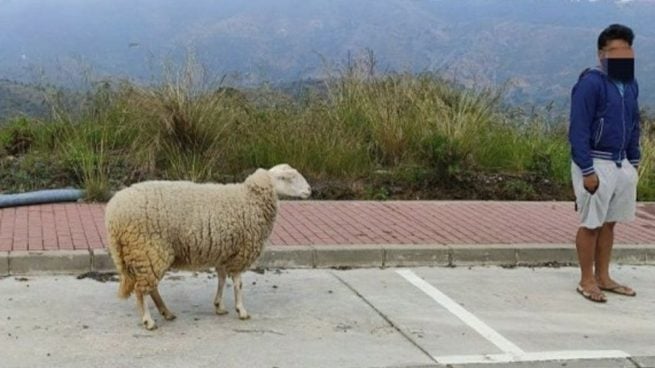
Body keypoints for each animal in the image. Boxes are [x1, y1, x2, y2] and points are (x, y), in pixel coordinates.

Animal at [105, 164, 312, 330]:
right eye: (288, 178)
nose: (310, 190)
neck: (249, 198)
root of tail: (113, 215)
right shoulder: (241, 252)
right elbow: (238, 284)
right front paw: (242, 310)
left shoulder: (225, 252)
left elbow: (221, 279)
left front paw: (219, 306)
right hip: (148, 249)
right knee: (141, 290)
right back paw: (149, 321)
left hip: (146, 253)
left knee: (150, 288)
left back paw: (167, 313)